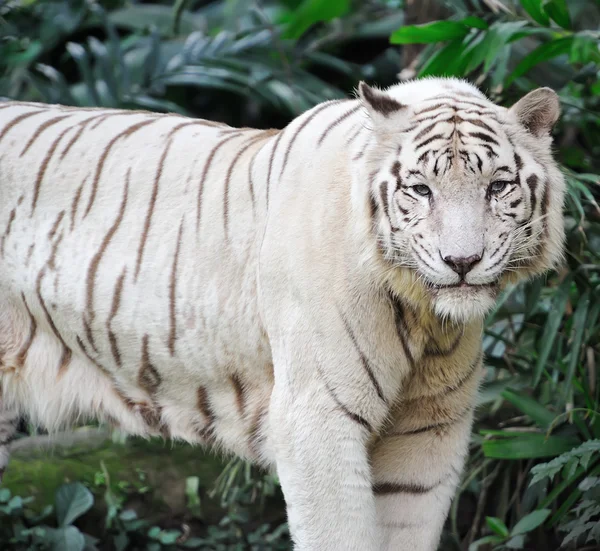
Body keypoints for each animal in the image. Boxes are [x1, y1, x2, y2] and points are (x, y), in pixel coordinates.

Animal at [0, 78, 564, 551]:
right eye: (421, 188)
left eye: (497, 187)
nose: (462, 262)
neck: (425, 315)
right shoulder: (317, 415)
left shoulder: (429, 426)